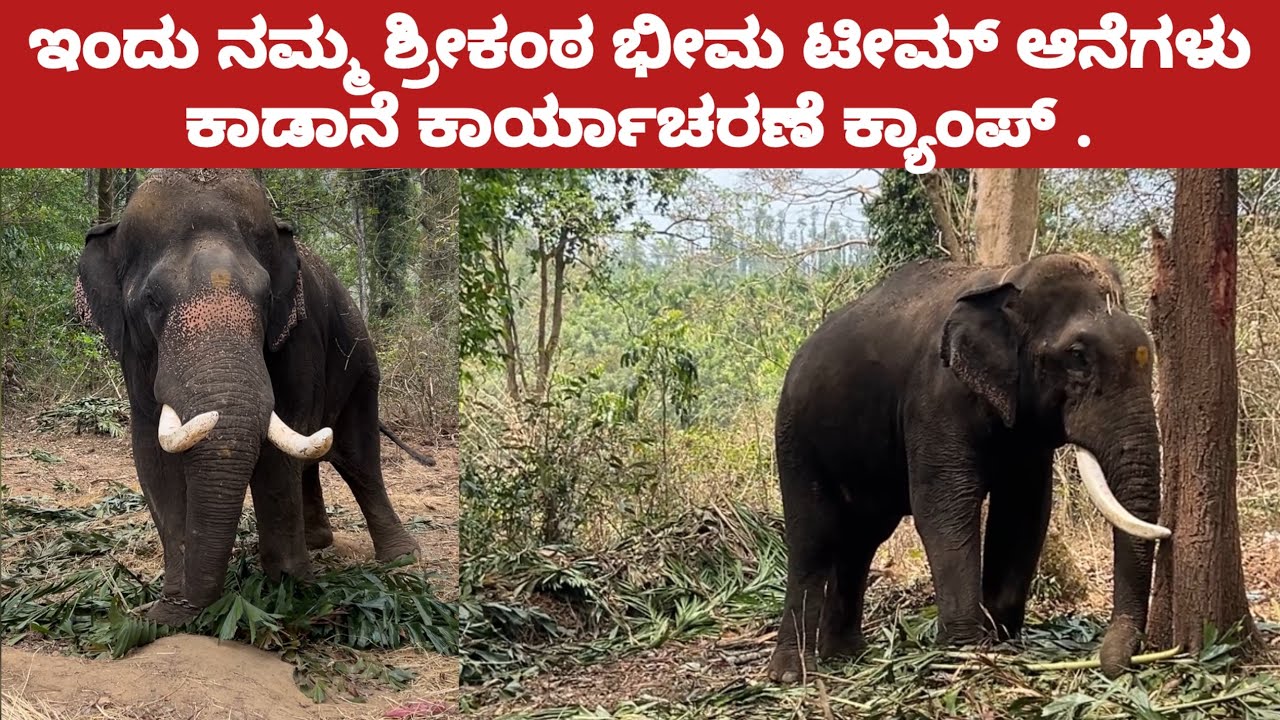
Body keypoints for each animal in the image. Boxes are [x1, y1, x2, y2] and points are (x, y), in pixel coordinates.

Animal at [74, 169, 433, 626]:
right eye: (151, 300)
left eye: (267, 298)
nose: (191, 604)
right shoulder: (134, 357)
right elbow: (152, 457)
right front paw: (167, 614)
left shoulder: (299, 335)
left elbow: (281, 445)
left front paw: (291, 593)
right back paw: (317, 541)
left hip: (362, 365)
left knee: (357, 457)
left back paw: (400, 558)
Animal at [766, 252, 1171, 683]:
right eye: (1078, 356)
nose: (1113, 663)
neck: (1010, 278)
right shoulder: (936, 398)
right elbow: (945, 507)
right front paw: (965, 653)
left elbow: (1024, 511)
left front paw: (1001, 638)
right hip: (795, 439)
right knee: (812, 538)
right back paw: (792, 674)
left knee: (863, 539)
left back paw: (847, 656)